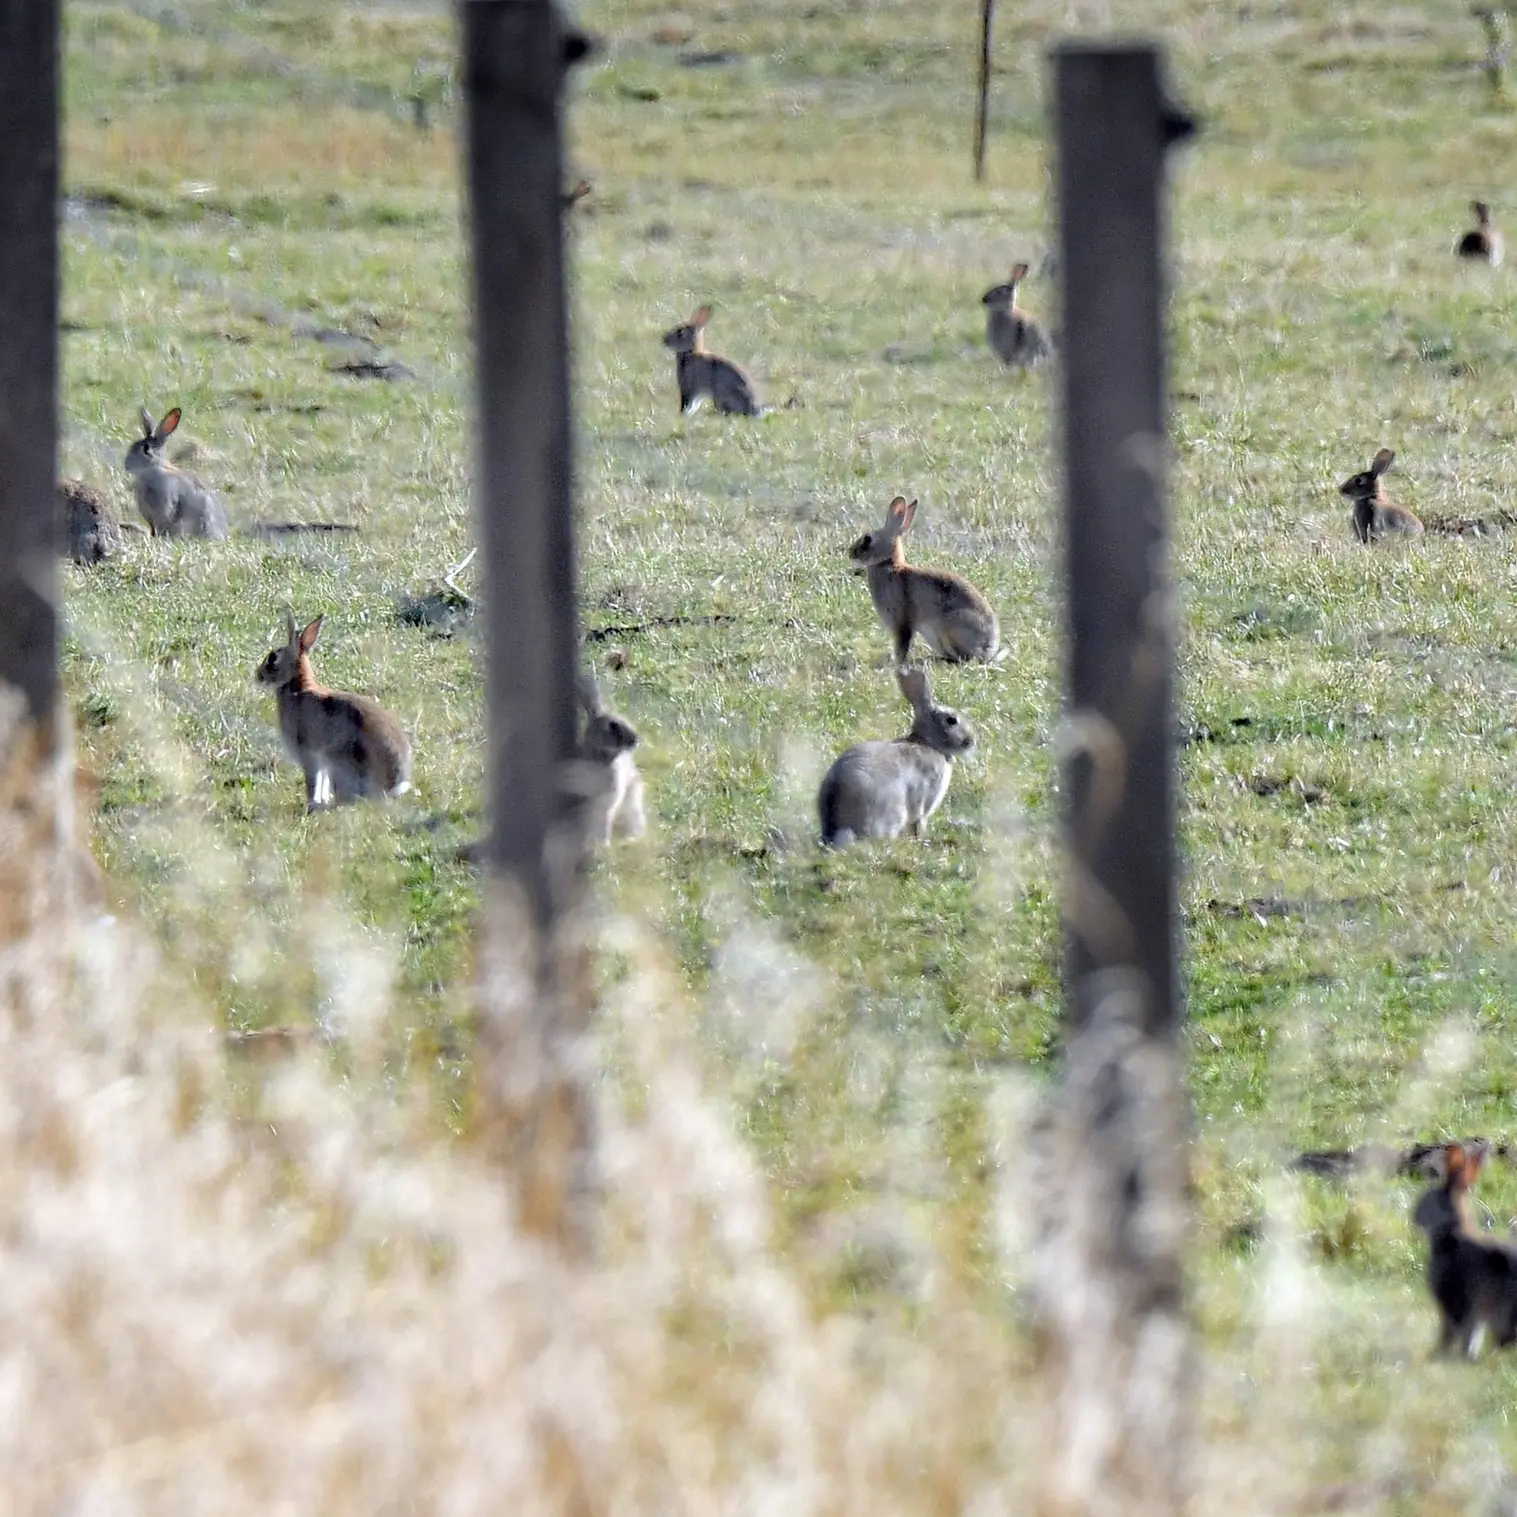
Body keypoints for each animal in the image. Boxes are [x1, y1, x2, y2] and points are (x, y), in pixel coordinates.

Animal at [255, 609, 412, 812]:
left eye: (273, 659)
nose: (258, 676)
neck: (298, 687)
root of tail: (393, 786)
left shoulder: (309, 754)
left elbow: (313, 781)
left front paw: (312, 804)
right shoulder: (322, 762)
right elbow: (322, 781)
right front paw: (319, 801)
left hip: (341, 759)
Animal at [818, 666, 975, 847]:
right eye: (951, 720)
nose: (973, 740)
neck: (929, 743)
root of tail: (839, 829)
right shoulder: (924, 798)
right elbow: (918, 822)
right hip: (894, 810)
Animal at [848, 495, 1001, 665]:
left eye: (867, 539)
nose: (850, 552)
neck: (890, 564)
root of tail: (989, 649)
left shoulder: (902, 623)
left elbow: (902, 645)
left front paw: (897, 663)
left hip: (950, 629)